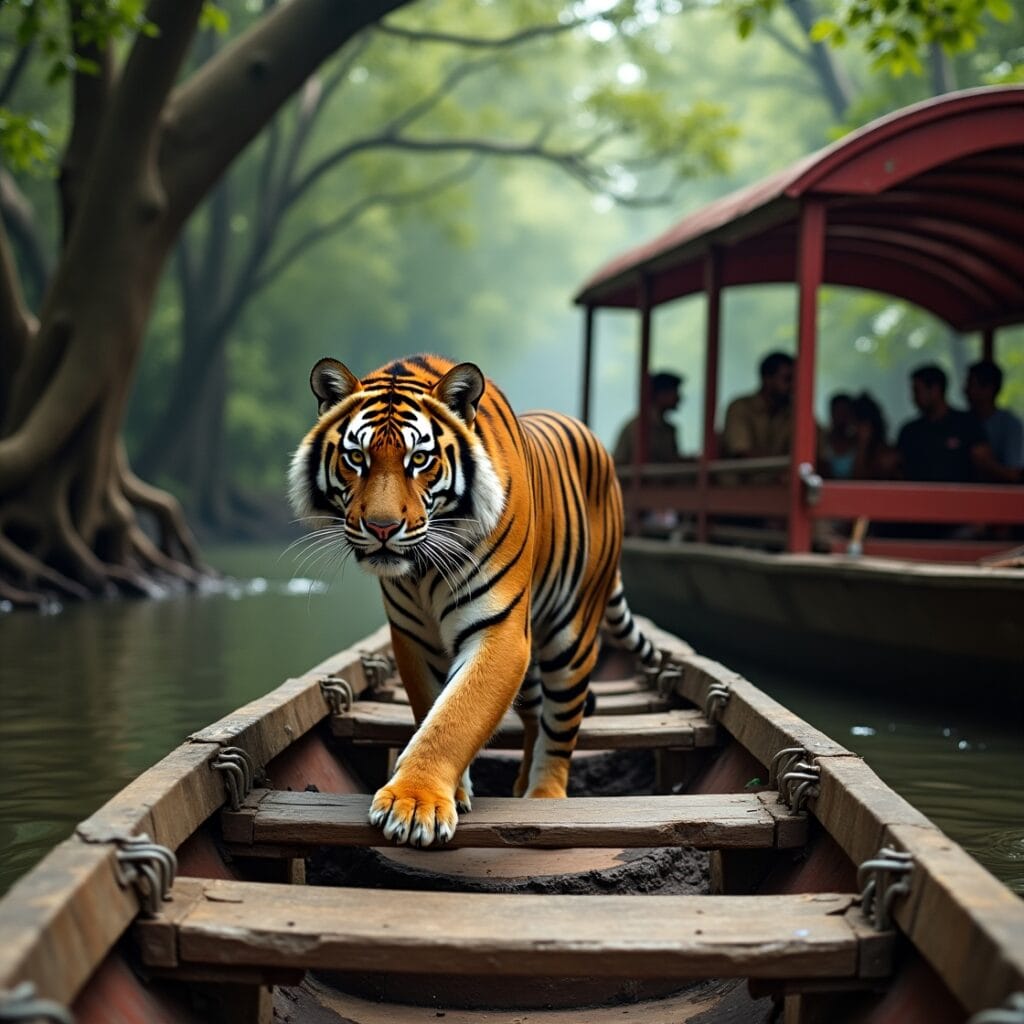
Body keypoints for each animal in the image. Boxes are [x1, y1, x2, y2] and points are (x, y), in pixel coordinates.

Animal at [289, 353, 657, 847]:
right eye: (356, 458)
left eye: (419, 459)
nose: (382, 528)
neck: (422, 571)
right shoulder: (413, 637)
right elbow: (433, 707)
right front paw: (450, 793)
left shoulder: (500, 631)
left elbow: (456, 715)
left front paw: (414, 804)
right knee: (535, 713)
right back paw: (522, 783)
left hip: (572, 638)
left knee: (560, 724)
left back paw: (543, 796)